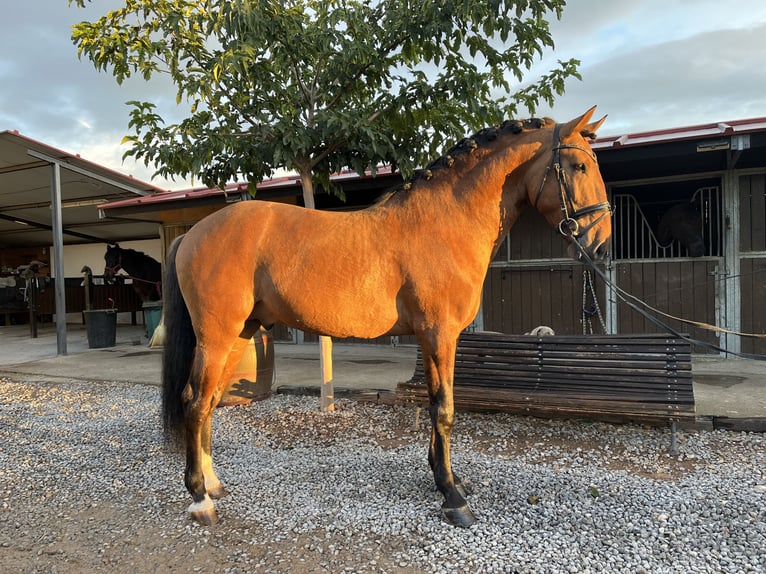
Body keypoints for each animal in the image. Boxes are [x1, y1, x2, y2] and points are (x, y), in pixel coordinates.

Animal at [160, 107, 612, 532]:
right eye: (579, 166)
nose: (601, 246)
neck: (447, 222)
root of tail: (193, 233)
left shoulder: (435, 339)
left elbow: (436, 403)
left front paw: (447, 479)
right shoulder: (439, 335)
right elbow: (444, 409)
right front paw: (453, 499)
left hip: (239, 335)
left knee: (210, 402)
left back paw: (214, 484)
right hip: (217, 337)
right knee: (195, 402)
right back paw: (200, 499)